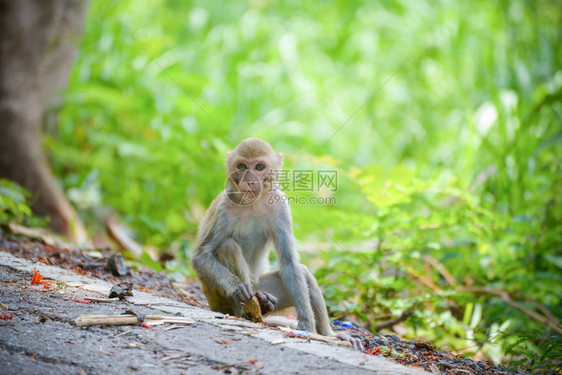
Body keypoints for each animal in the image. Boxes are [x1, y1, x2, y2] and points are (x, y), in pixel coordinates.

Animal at [190, 140, 360, 352]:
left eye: (259, 167)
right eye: (242, 166)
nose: (250, 180)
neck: (252, 203)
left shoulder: (281, 207)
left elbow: (290, 263)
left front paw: (307, 324)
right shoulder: (222, 209)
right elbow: (201, 257)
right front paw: (237, 287)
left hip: (265, 286)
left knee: (302, 273)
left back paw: (327, 335)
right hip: (219, 299)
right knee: (228, 246)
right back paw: (247, 308)